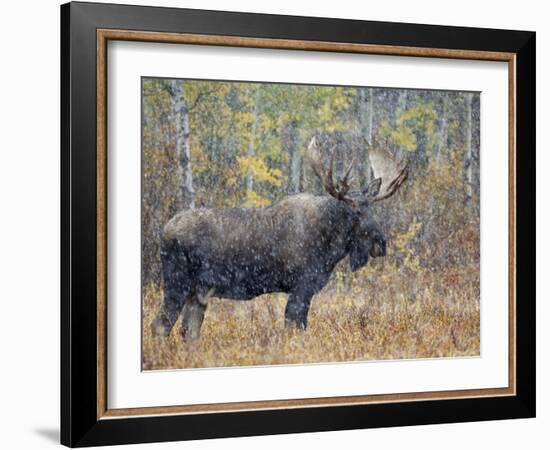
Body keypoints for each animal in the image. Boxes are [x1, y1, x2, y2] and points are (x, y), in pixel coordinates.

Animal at [152, 139, 410, 340]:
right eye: (355, 212)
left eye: (372, 209)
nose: (381, 244)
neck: (330, 247)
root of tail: (163, 231)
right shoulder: (302, 286)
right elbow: (295, 328)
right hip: (177, 283)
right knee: (161, 326)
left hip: (199, 292)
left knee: (188, 331)